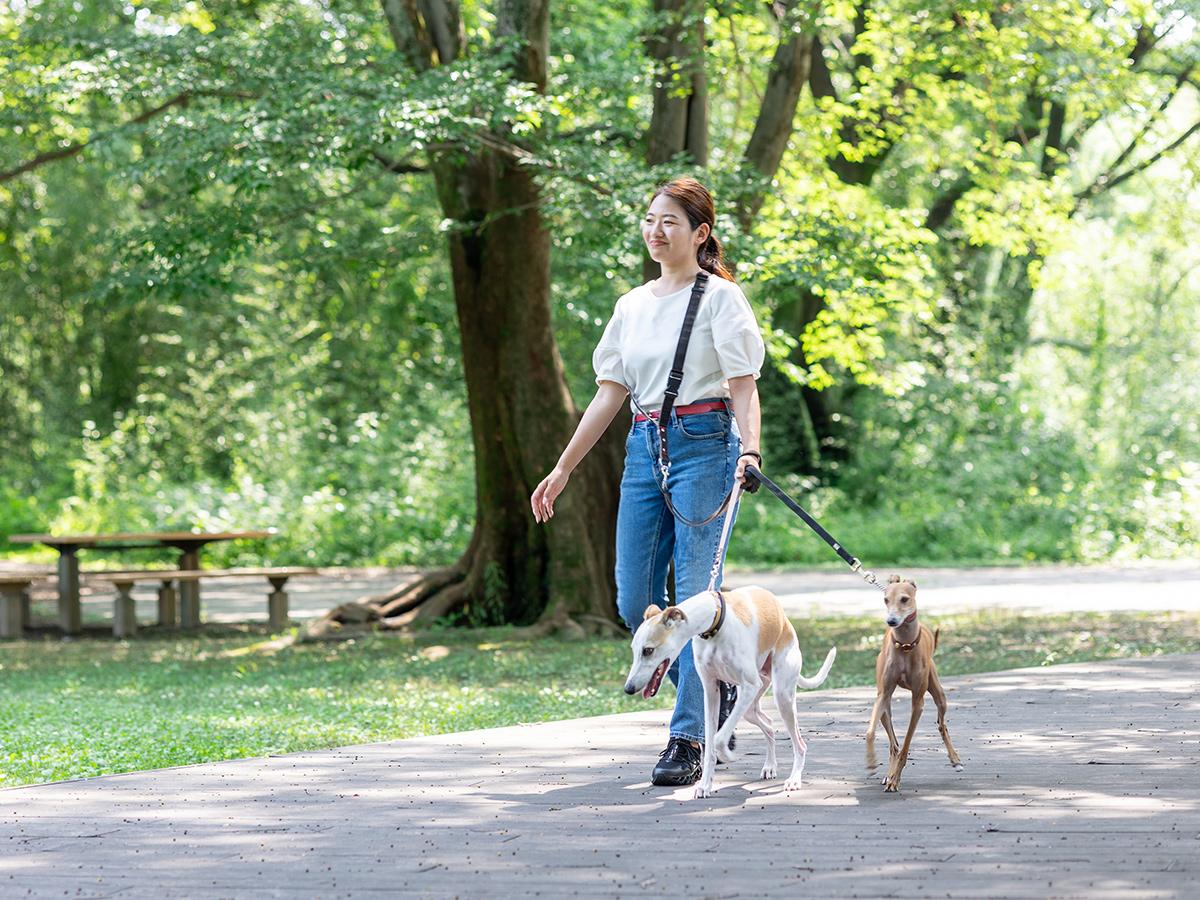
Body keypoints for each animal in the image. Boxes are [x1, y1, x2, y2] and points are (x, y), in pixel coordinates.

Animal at [628, 588, 835, 801]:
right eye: (634, 650)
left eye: (648, 650)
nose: (629, 688)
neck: (714, 622)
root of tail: (786, 622)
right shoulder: (710, 691)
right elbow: (710, 745)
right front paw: (705, 785)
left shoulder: (750, 686)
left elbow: (718, 739)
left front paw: (727, 754)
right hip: (751, 706)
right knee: (768, 725)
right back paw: (770, 766)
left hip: (781, 695)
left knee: (799, 744)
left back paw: (794, 779)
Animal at [864, 573, 964, 792]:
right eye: (885, 600)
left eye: (904, 599)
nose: (891, 621)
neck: (905, 645)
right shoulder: (883, 695)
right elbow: (870, 733)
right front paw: (872, 763)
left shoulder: (918, 702)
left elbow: (907, 744)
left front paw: (895, 779)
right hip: (885, 708)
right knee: (893, 744)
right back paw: (888, 773)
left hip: (939, 695)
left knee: (941, 725)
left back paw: (955, 760)